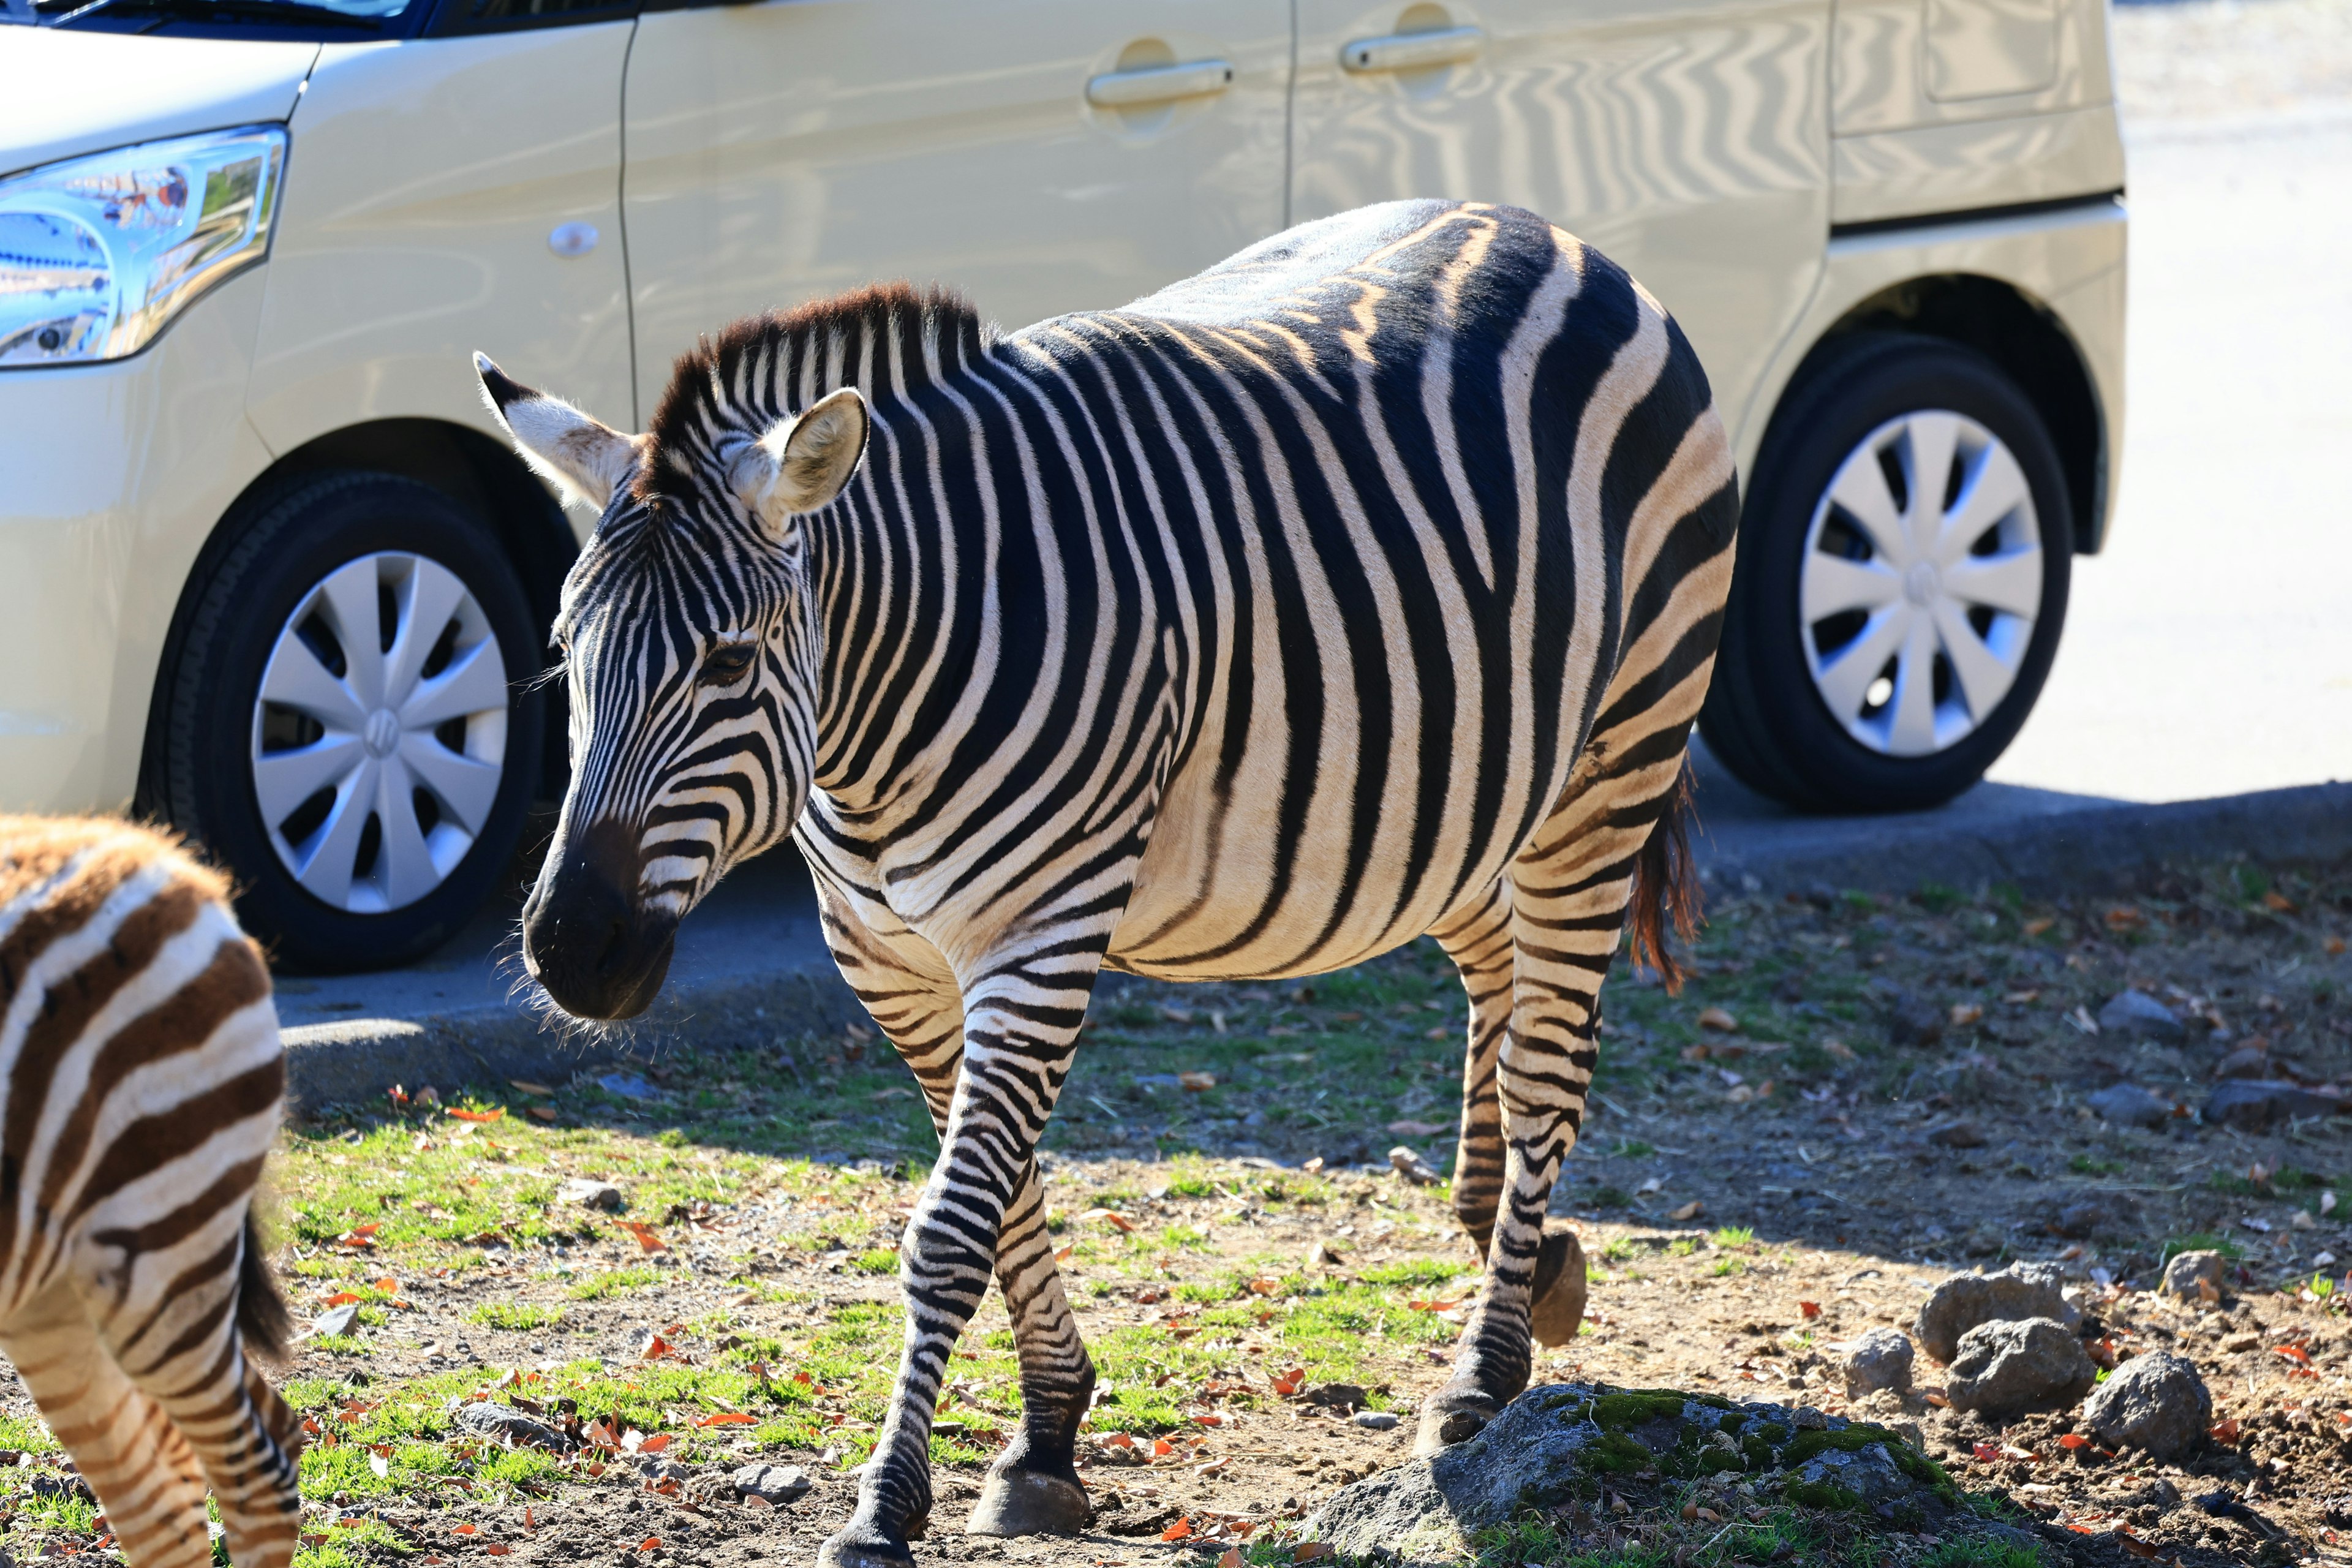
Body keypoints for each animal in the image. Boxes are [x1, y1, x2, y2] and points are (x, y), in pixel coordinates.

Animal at [477, 200, 1740, 1568]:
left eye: (728, 660)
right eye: (565, 649)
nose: (572, 950)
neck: (876, 715)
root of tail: (1547, 230)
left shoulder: (1039, 933)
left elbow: (950, 1225)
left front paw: (885, 1505)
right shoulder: (887, 957)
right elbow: (1001, 1190)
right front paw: (1046, 1434)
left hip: (1610, 761)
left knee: (1547, 1057)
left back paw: (1484, 1369)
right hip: (1457, 796)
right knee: (1500, 987)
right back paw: (1525, 1252)